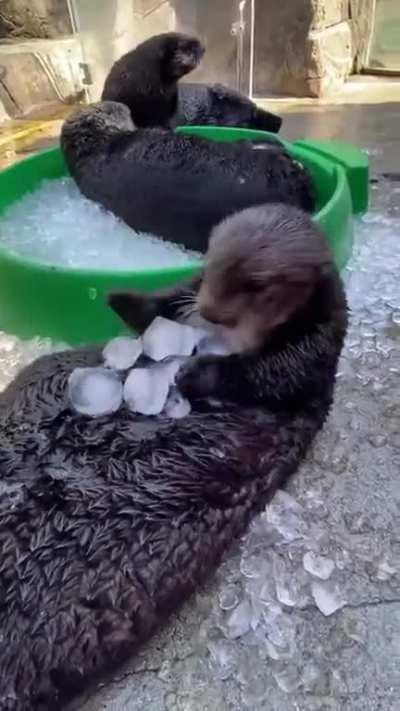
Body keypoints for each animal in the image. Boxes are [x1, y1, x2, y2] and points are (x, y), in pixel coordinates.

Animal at [0, 205, 347, 709]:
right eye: (211, 258)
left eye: (257, 287)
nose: (210, 310)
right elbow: (166, 300)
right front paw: (125, 300)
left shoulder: (314, 350)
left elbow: (271, 373)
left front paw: (194, 371)